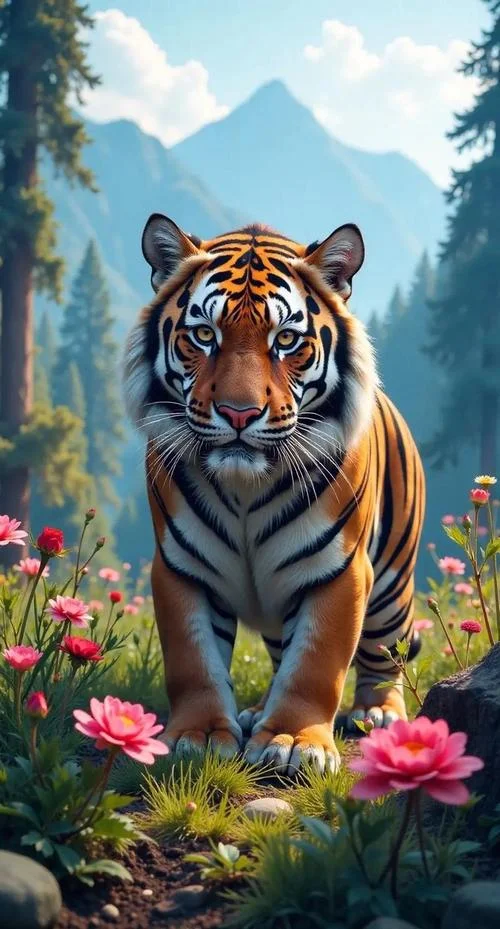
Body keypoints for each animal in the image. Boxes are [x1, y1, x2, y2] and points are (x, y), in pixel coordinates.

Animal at [123, 213, 425, 775]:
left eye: (286, 339)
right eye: (204, 335)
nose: (239, 413)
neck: (245, 486)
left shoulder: (340, 570)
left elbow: (317, 665)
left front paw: (293, 741)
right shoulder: (181, 566)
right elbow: (193, 661)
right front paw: (200, 735)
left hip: (392, 586)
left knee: (382, 656)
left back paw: (378, 713)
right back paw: (255, 711)